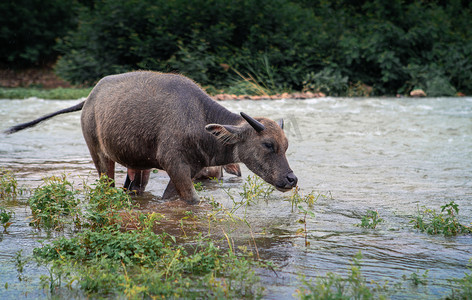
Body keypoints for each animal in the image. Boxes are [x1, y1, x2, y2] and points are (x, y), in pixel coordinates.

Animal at [3, 71, 296, 203]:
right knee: (107, 185)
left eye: (286, 146)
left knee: (133, 187)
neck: (199, 120)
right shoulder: (175, 165)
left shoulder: (188, 170)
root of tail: (89, 98)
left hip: (138, 165)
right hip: (99, 155)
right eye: (268, 144)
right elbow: (193, 200)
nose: (291, 179)